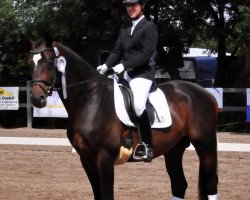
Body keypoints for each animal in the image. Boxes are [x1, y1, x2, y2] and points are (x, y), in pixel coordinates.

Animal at [28, 38, 218, 199]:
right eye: (31, 63)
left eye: (50, 62)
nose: (37, 98)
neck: (90, 100)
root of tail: (206, 93)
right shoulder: (86, 159)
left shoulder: (104, 158)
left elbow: (106, 195)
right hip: (174, 148)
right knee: (179, 184)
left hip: (206, 145)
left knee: (211, 184)